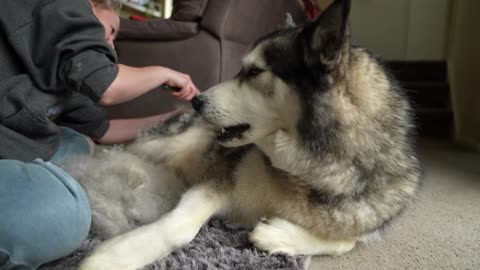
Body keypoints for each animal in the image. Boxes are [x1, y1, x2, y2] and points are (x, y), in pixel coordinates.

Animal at [75, 1, 420, 268]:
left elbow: (345, 242)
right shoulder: (219, 177)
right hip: (170, 144)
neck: (306, 174)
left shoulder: (364, 219)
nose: (196, 100)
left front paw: (276, 234)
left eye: (254, 72)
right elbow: (180, 228)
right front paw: (114, 257)